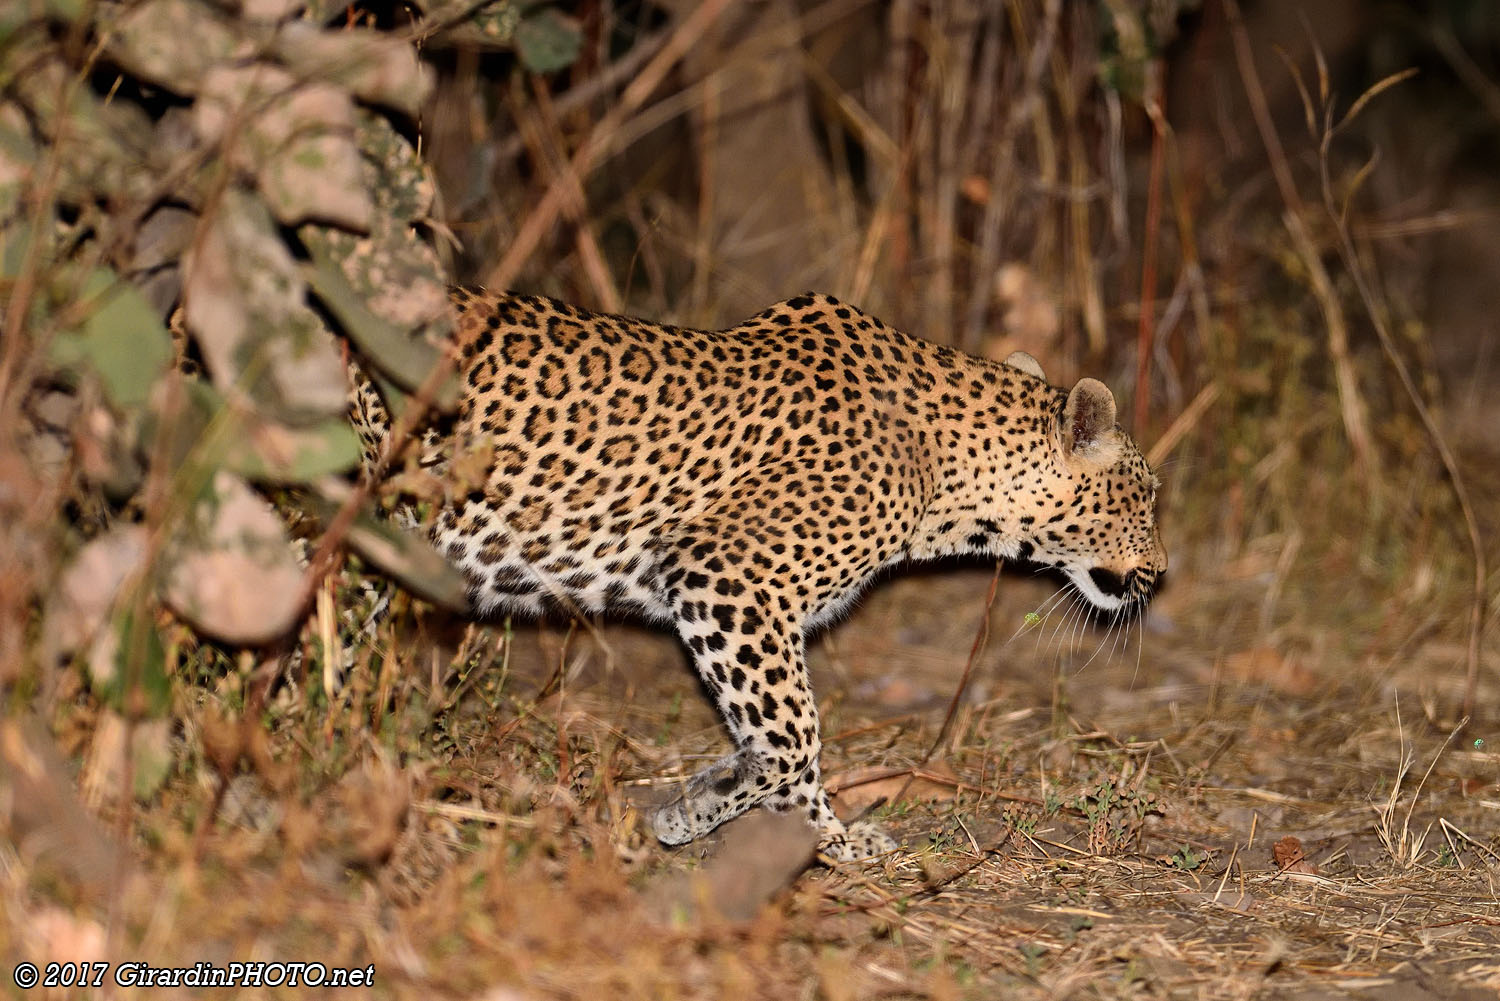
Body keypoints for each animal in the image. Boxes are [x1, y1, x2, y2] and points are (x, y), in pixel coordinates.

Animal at [345, 288, 1164, 864]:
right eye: (1148, 499)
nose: (1161, 574)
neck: (951, 476)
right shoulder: (728, 575)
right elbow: (795, 735)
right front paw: (810, 834)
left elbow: (773, 735)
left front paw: (723, 798)